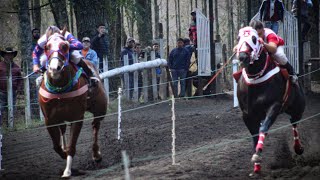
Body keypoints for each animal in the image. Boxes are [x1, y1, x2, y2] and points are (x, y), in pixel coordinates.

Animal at [38, 27, 108, 177]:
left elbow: (72, 146)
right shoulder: (49, 120)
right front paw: (64, 156)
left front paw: (68, 171)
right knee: (64, 129)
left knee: (95, 125)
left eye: (65, 46)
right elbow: (56, 146)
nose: (55, 68)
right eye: (46, 47)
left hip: (100, 109)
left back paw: (96, 155)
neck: (60, 90)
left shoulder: (77, 117)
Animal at [235, 27, 304, 176]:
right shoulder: (247, 114)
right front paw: (256, 165)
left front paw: (257, 155)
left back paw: (298, 148)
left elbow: (263, 128)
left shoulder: (274, 106)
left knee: (294, 122)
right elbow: (255, 134)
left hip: (297, 108)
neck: (255, 80)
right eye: (238, 38)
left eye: (254, 39)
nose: (242, 57)